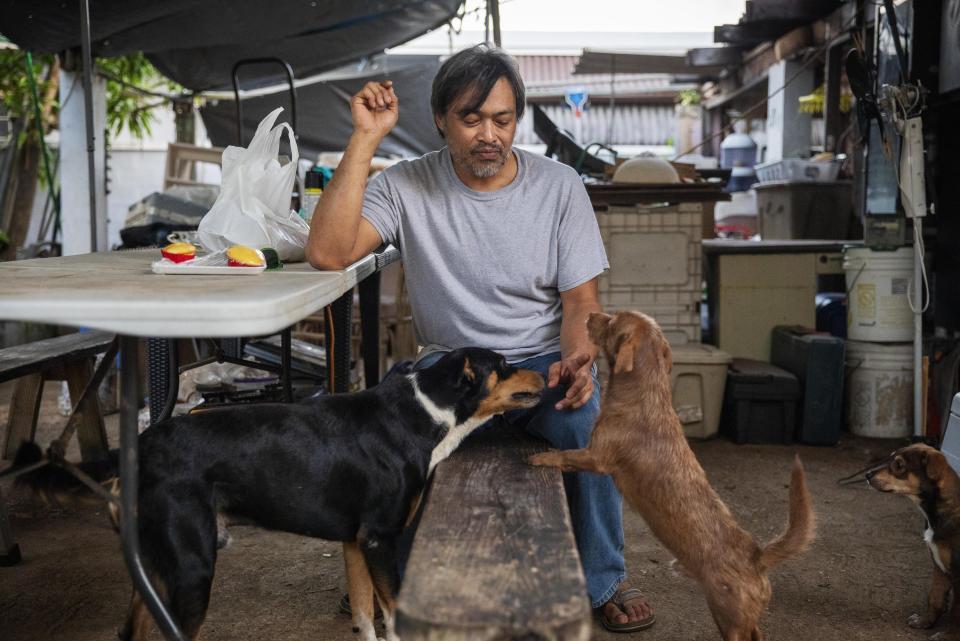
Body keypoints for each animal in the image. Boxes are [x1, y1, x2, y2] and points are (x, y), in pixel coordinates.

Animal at [15, 348, 544, 640]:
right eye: (504, 365)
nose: (545, 373)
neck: (424, 413)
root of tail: (140, 446)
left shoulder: (356, 543)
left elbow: (365, 617)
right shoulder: (380, 539)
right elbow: (391, 615)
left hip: (155, 569)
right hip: (190, 569)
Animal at [528, 312, 812, 640]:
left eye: (612, 321)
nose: (590, 315)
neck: (645, 394)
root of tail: (757, 556)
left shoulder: (595, 457)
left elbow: (565, 455)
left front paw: (541, 457)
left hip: (729, 618)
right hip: (744, 619)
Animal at [868, 444, 960, 640]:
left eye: (899, 465)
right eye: (890, 458)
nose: (867, 475)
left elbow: (956, 612)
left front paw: (948, 637)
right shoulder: (939, 565)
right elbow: (934, 598)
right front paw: (924, 622)